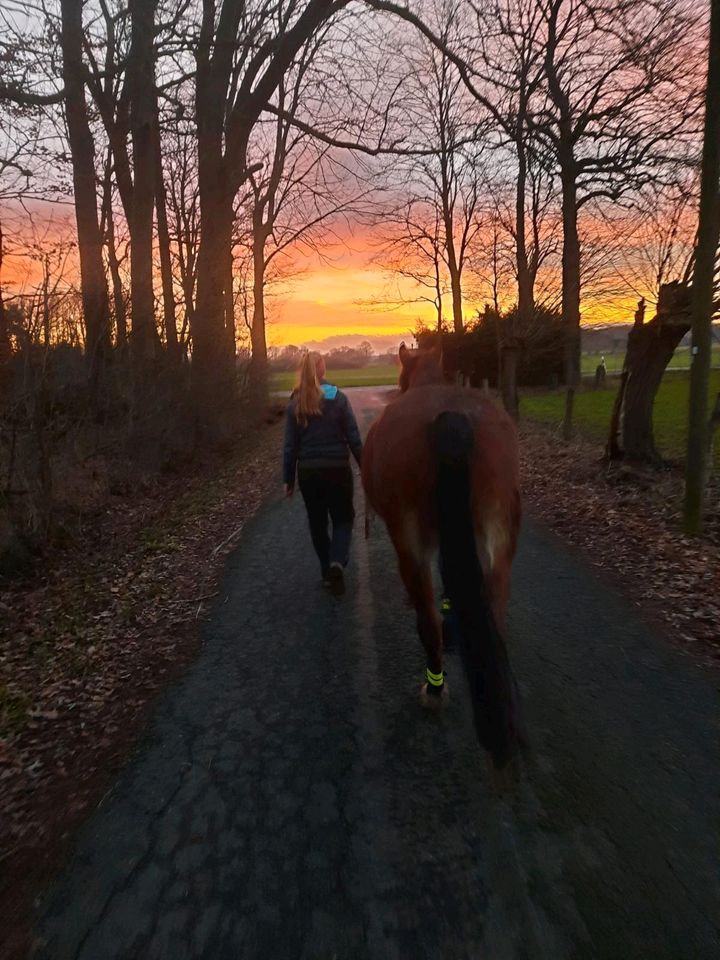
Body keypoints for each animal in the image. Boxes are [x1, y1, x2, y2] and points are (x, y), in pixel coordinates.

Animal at [360, 342, 524, 768]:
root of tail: (452, 418)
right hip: (500, 547)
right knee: (496, 618)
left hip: (410, 543)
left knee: (428, 622)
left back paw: (434, 689)